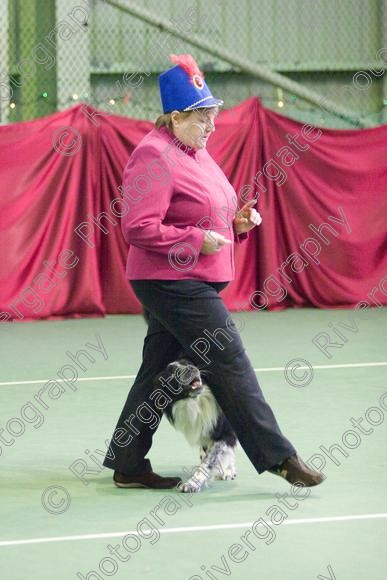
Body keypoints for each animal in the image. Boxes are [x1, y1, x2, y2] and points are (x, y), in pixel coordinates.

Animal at [156, 356, 238, 492]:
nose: (191, 368)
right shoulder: (204, 433)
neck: (196, 402)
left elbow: (208, 462)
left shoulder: (224, 432)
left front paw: (191, 484)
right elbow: (206, 456)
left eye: (188, 363)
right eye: (172, 373)